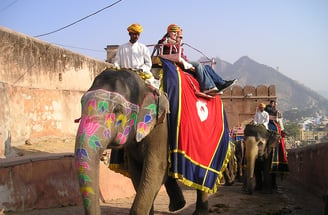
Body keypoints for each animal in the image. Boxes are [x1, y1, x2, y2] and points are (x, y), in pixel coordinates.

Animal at [74, 69, 210, 215]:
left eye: (117, 110)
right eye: (81, 104)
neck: (145, 86)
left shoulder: (161, 128)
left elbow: (155, 169)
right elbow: (137, 171)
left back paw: (199, 212)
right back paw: (178, 205)